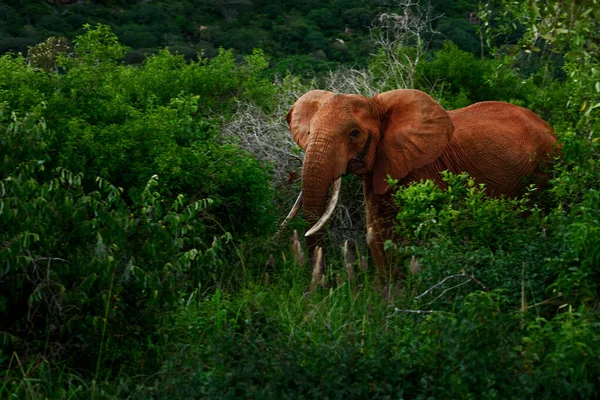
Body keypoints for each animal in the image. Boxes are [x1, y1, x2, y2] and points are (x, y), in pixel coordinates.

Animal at [282, 88, 556, 276]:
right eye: (309, 132)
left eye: (354, 134)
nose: (324, 281)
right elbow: (376, 236)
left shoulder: (423, 168)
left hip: (545, 166)